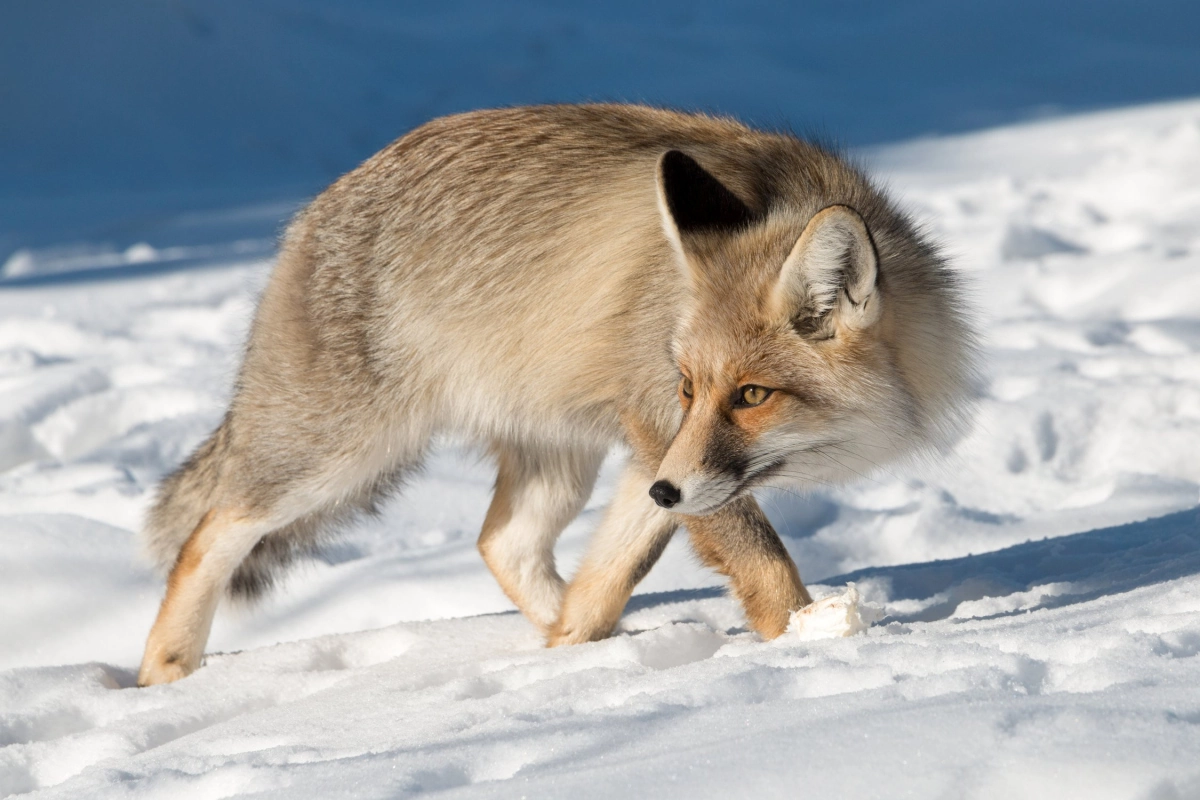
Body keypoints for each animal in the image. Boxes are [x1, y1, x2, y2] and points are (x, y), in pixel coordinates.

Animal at [136, 101, 974, 690]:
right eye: (692, 386)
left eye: (752, 394)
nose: (668, 491)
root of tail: (311, 213)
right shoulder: (660, 427)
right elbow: (764, 567)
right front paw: (812, 646)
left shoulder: (658, 456)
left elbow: (611, 575)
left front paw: (577, 655)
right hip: (336, 454)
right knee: (208, 532)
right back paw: (166, 673)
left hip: (561, 460)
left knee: (502, 545)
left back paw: (569, 649)